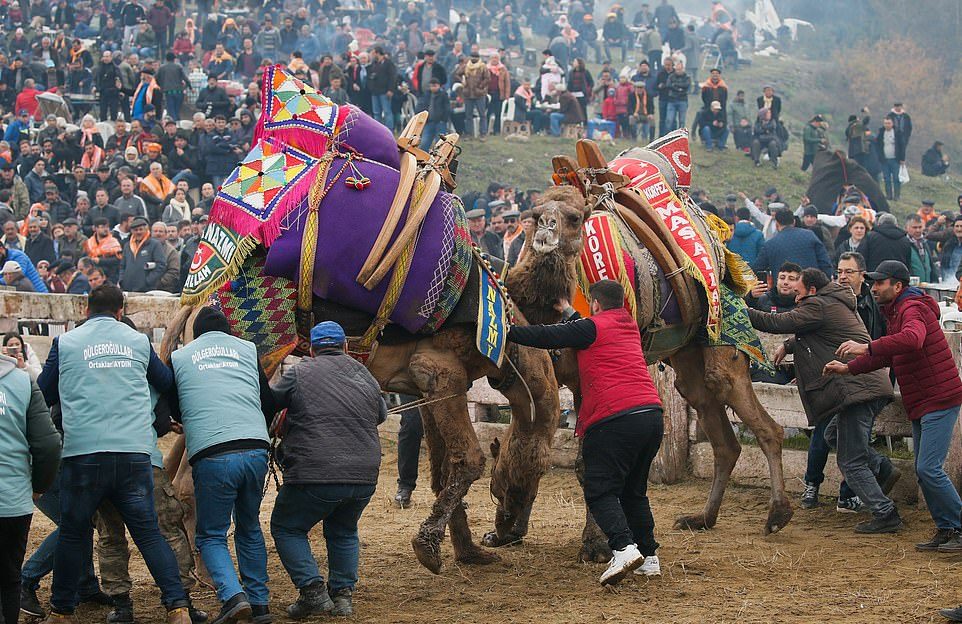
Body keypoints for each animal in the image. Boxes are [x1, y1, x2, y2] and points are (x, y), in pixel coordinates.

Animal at [160, 262, 560, 576]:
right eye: (530, 473)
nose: (509, 532)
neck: (500, 331)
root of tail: (194, 307)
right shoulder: (440, 372)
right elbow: (470, 460)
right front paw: (428, 546)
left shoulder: (432, 389)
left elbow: (443, 468)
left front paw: (468, 551)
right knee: (193, 480)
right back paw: (209, 573)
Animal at [484, 158, 792, 564]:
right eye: (534, 215)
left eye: (574, 218)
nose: (546, 230)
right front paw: (512, 532)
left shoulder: (584, 374)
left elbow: (587, 464)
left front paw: (595, 545)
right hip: (687, 360)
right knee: (722, 435)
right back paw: (702, 518)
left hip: (719, 340)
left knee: (762, 423)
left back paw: (777, 514)